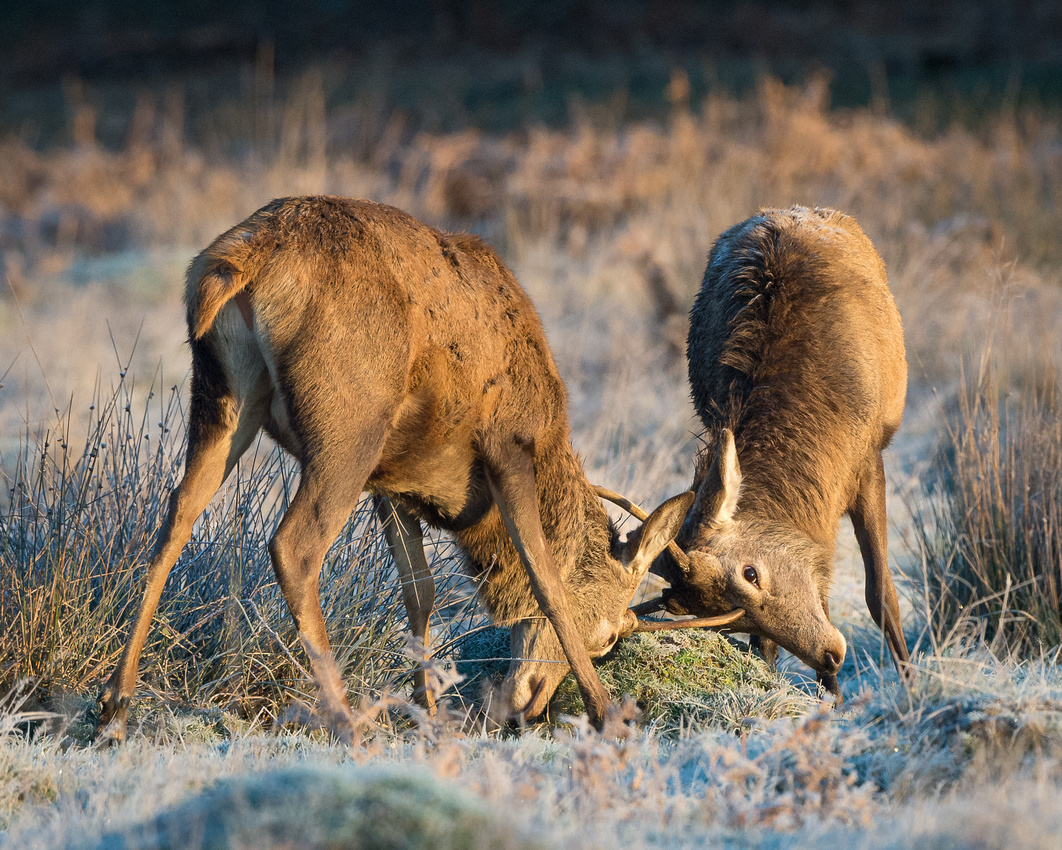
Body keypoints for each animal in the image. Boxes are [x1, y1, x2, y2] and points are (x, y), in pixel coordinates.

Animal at [93, 194, 696, 735]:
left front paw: (426, 710)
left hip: (226, 394)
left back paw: (115, 707)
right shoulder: (507, 444)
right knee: (294, 544)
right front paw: (605, 713)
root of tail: (242, 258)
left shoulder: (395, 480)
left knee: (178, 513)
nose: (528, 708)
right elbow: (545, 576)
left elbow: (420, 589)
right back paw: (345, 719)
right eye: (609, 639)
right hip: (348, 421)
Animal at [615, 206, 913, 697]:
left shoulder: (869, 457)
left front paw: (909, 689)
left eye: (750, 573)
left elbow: (881, 595)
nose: (830, 655)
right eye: (729, 621)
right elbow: (801, 612)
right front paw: (822, 697)